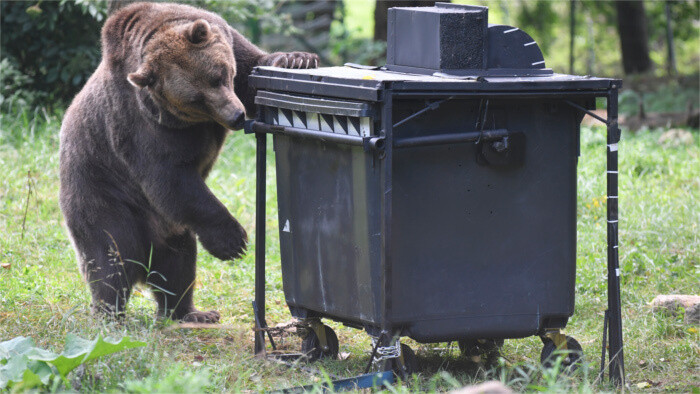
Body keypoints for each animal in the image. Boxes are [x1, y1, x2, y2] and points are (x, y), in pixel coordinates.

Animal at [58, 2, 318, 324]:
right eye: (196, 99)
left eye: (219, 75)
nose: (236, 117)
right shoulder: (144, 127)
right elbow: (171, 179)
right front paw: (234, 241)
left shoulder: (230, 44)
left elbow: (254, 69)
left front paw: (298, 59)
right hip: (103, 197)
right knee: (111, 259)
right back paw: (110, 315)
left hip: (168, 227)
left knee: (178, 262)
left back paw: (191, 312)